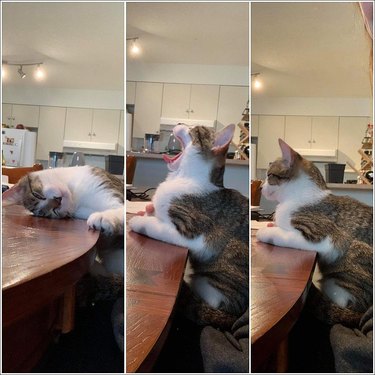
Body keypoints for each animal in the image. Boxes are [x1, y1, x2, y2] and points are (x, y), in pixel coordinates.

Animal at [129, 124, 250, 328]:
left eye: (193, 128)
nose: (179, 122)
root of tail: (234, 315)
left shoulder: (191, 232)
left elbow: (157, 227)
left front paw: (139, 221)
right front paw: (146, 211)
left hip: (212, 282)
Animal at [258, 140, 374, 328]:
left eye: (269, 176)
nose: (261, 187)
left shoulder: (323, 236)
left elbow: (284, 234)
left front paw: (265, 230)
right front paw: (269, 223)